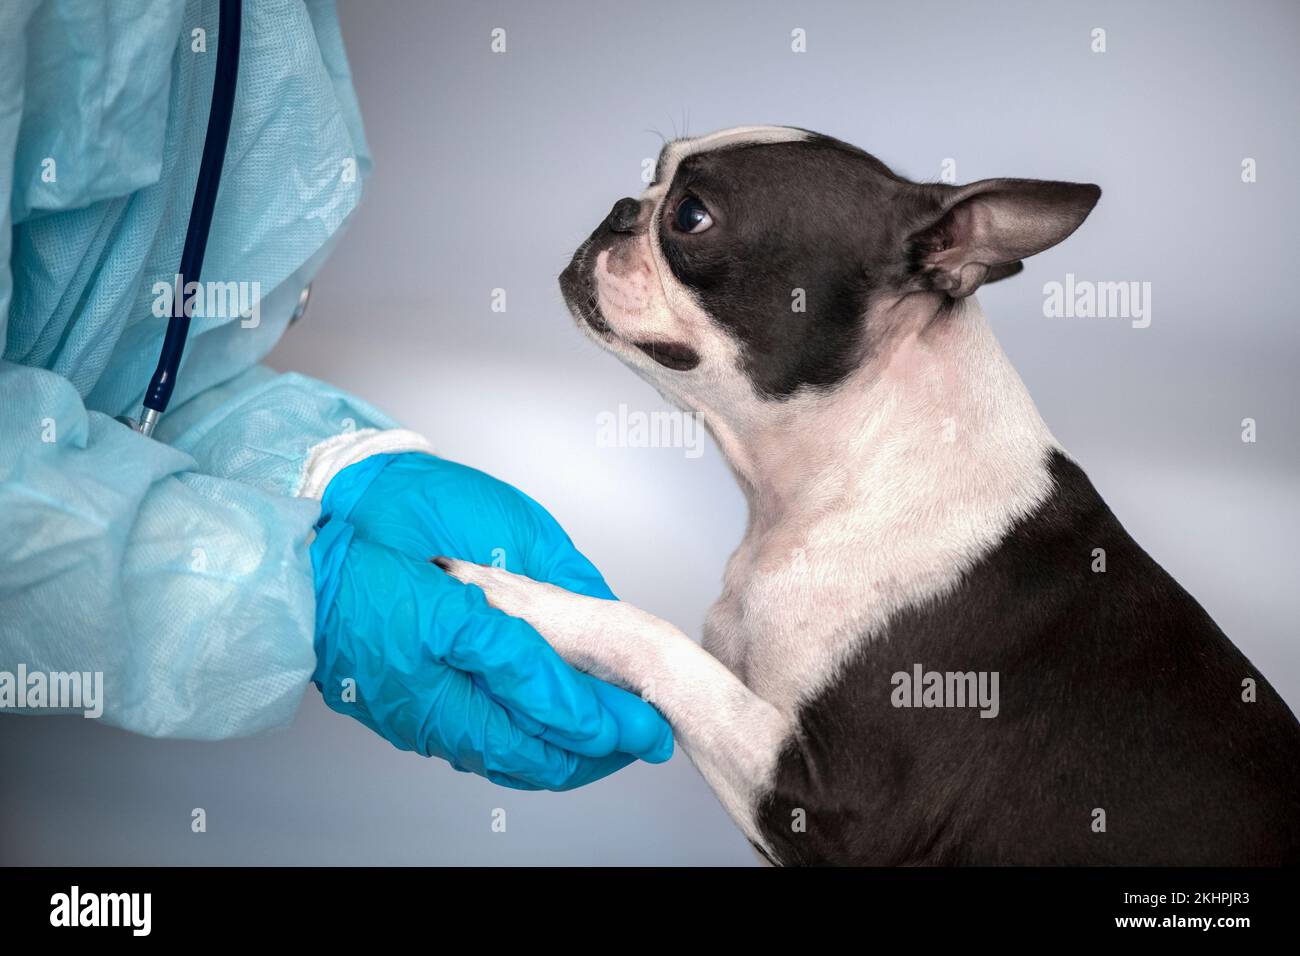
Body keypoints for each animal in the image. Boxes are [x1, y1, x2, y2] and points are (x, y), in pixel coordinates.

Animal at [436, 125, 1300, 868]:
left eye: (690, 215)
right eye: (653, 175)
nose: (621, 208)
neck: (845, 473)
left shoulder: (836, 806)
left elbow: (661, 645)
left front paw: (527, 601)